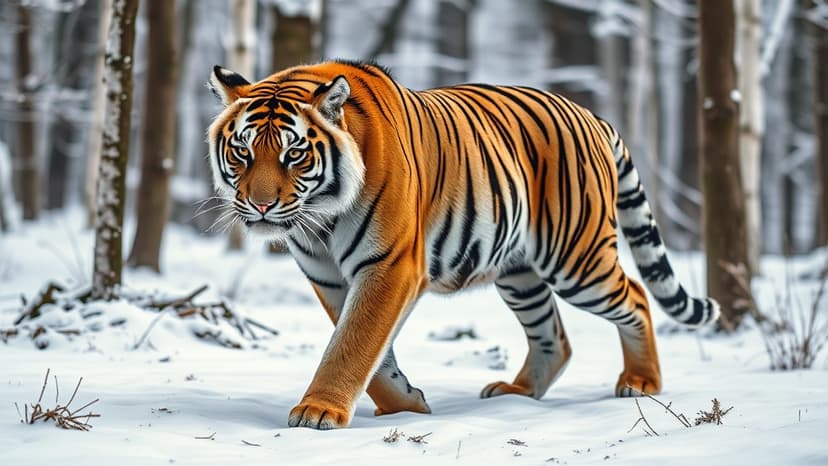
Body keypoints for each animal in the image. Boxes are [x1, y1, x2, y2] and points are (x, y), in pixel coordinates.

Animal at [206, 60, 719, 430]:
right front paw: (406, 405)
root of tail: (592, 115)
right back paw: (516, 394)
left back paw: (641, 382)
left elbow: (353, 344)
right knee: (554, 337)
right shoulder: (329, 277)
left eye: (294, 153)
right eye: (242, 151)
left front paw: (318, 411)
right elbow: (371, 351)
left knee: (637, 296)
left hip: (577, 258)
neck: (321, 219)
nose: (261, 205)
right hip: (520, 274)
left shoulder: (389, 265)